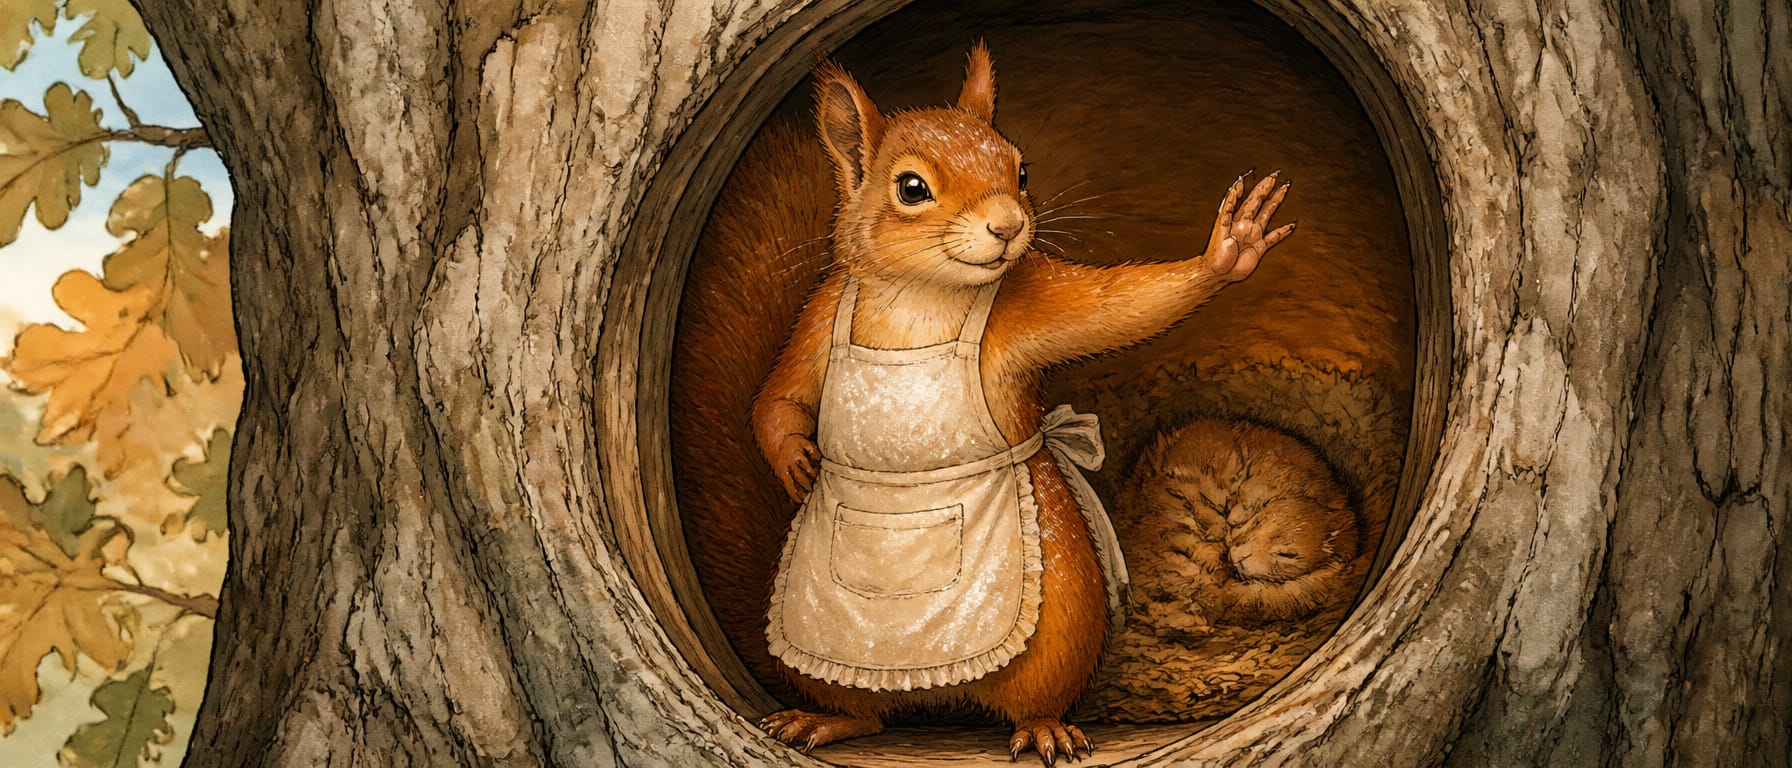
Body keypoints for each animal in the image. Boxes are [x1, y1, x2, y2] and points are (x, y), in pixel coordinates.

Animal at [714, 44, 1294, 765]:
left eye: (1021, 170)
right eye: (911, 188)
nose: (1009, 226)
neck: (922, 294)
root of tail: (938, 691)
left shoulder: (1029, 299)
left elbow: (1116, 308)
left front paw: (1227, 252)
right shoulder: (821, 313)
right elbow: (781, 393)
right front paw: (796, 462)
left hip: (1061, 617)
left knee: (1035, 692)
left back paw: (1044, 728)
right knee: (865, 709)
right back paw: (826, 720)